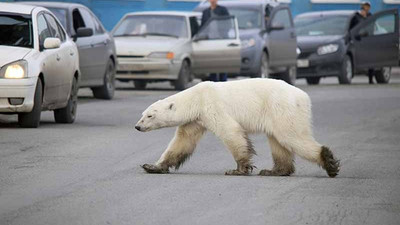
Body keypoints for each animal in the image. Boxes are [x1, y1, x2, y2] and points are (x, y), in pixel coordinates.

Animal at [136, 79, 340, 178]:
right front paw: (152, 166)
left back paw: (329, 162)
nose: (137, 126)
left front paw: (238, 169)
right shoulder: (196, 120)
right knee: (278, 142)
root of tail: (304, 96)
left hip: (282, 108)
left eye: (150, 116)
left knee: (291, 136)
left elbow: (231, 132)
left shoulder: (212, 106)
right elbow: (182, 141)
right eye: (142, 113)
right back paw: (274, 171)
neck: (196, 98)